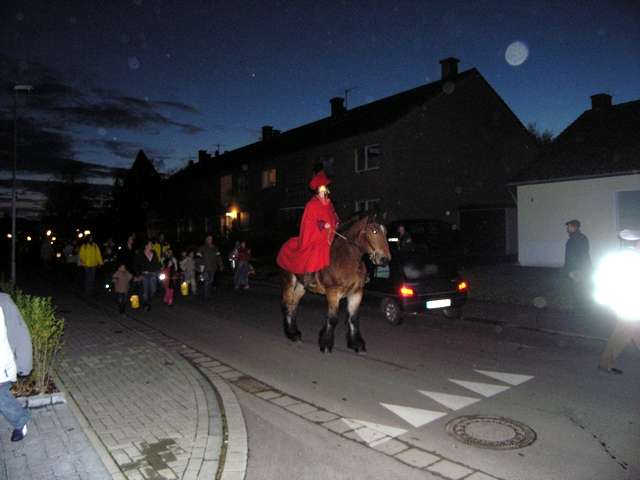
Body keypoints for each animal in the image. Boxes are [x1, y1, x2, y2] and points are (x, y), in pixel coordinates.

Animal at [278, 213, 390, 352]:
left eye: (385, 231)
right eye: (374, 231)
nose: (385, 259)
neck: (348, 259)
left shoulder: (357, 293)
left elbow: (353, 318)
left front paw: (356, 344)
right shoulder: (333, 292)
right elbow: (333, 319)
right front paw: (326, 343)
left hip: (301, 285)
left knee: (293, 304)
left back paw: (294, 332)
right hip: (288, 280)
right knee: (287, 303)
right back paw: (291, 333)